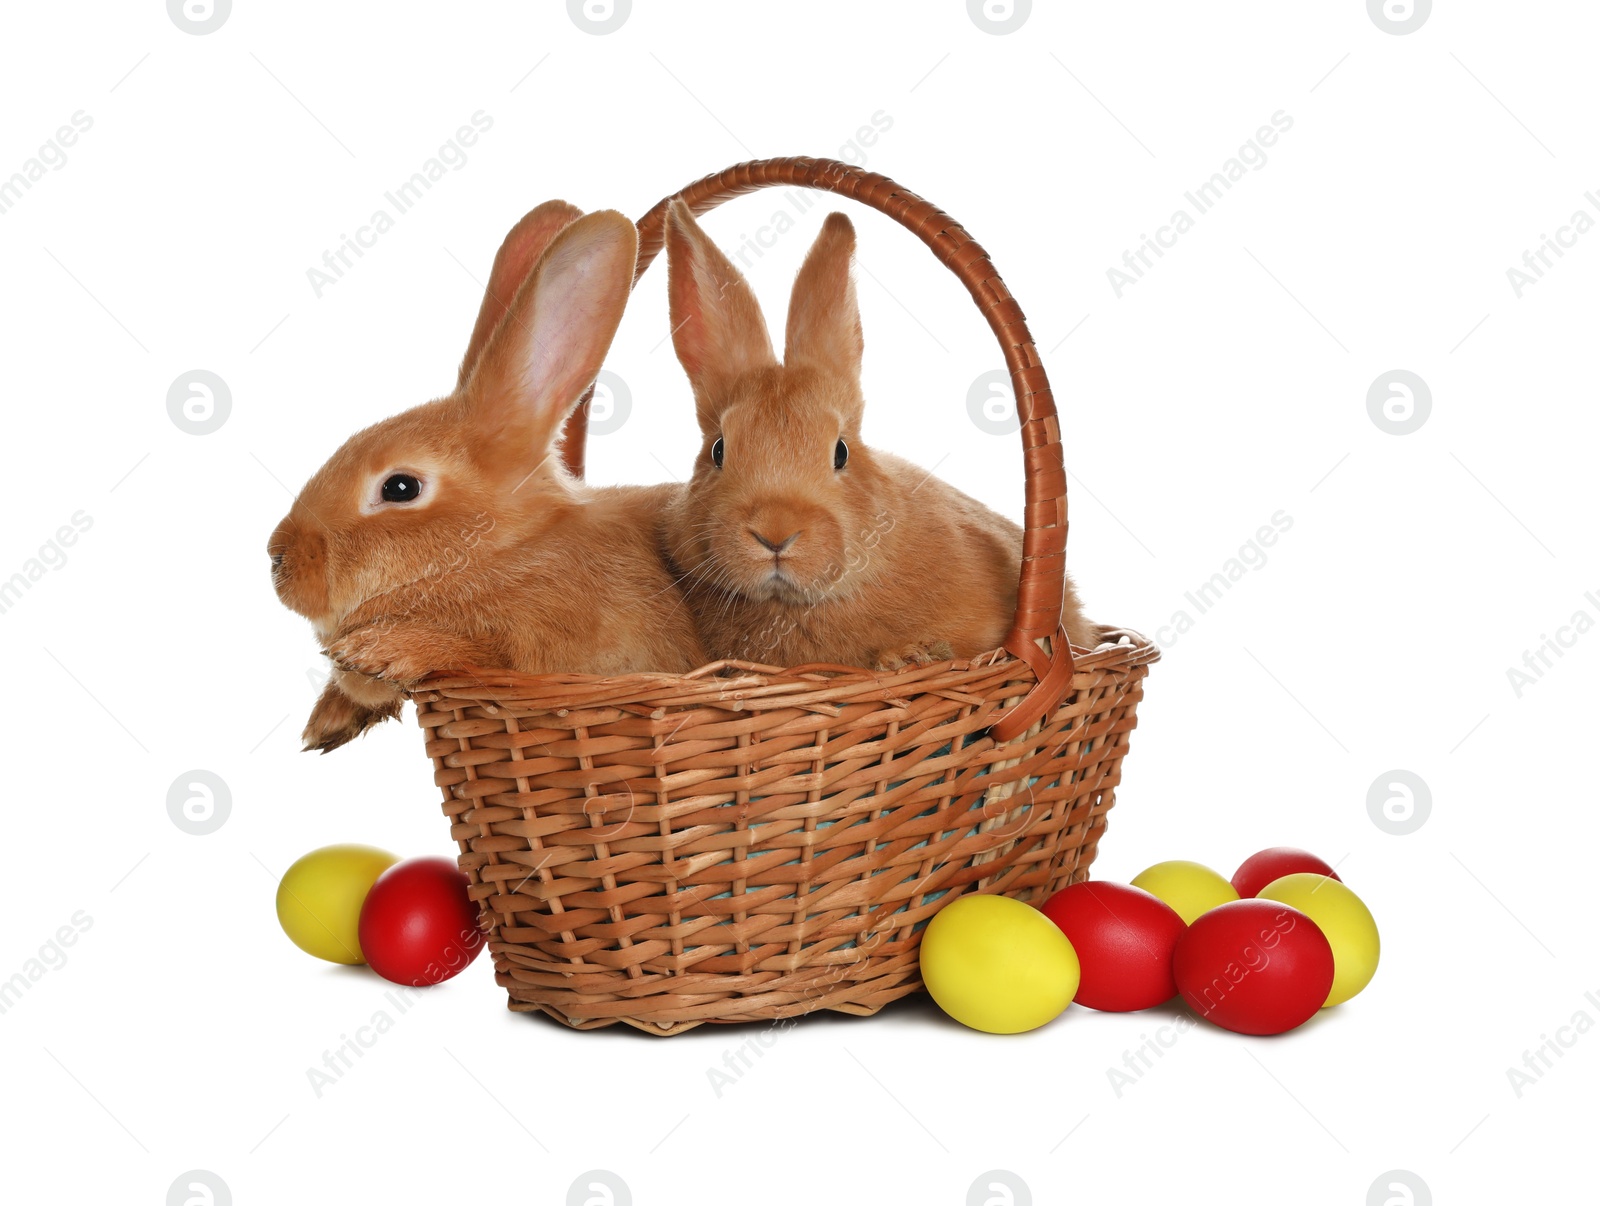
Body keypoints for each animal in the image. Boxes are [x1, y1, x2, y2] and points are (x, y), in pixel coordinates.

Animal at [268, 206, 707, 751]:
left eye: (400, 488)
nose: (278, 559)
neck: (497, 549)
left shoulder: (554, 651)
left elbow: (470, 649)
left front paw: (378, 653)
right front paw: (329, 719)